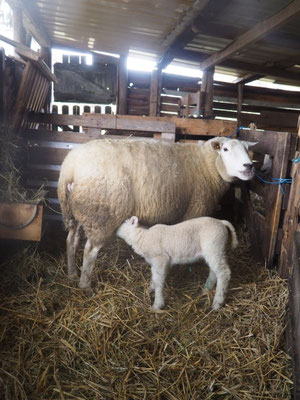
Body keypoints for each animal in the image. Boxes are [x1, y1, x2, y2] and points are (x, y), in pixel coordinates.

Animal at [56, 136, 255, 290]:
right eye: (226, 149)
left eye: (247, 149)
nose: (249, 166)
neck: (207, 165)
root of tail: (70, 168)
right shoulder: (195, 209)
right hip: (101, 216)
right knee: (90, 251)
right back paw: (85, 285)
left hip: (78, 212)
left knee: (71, 241)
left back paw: (72, 274)